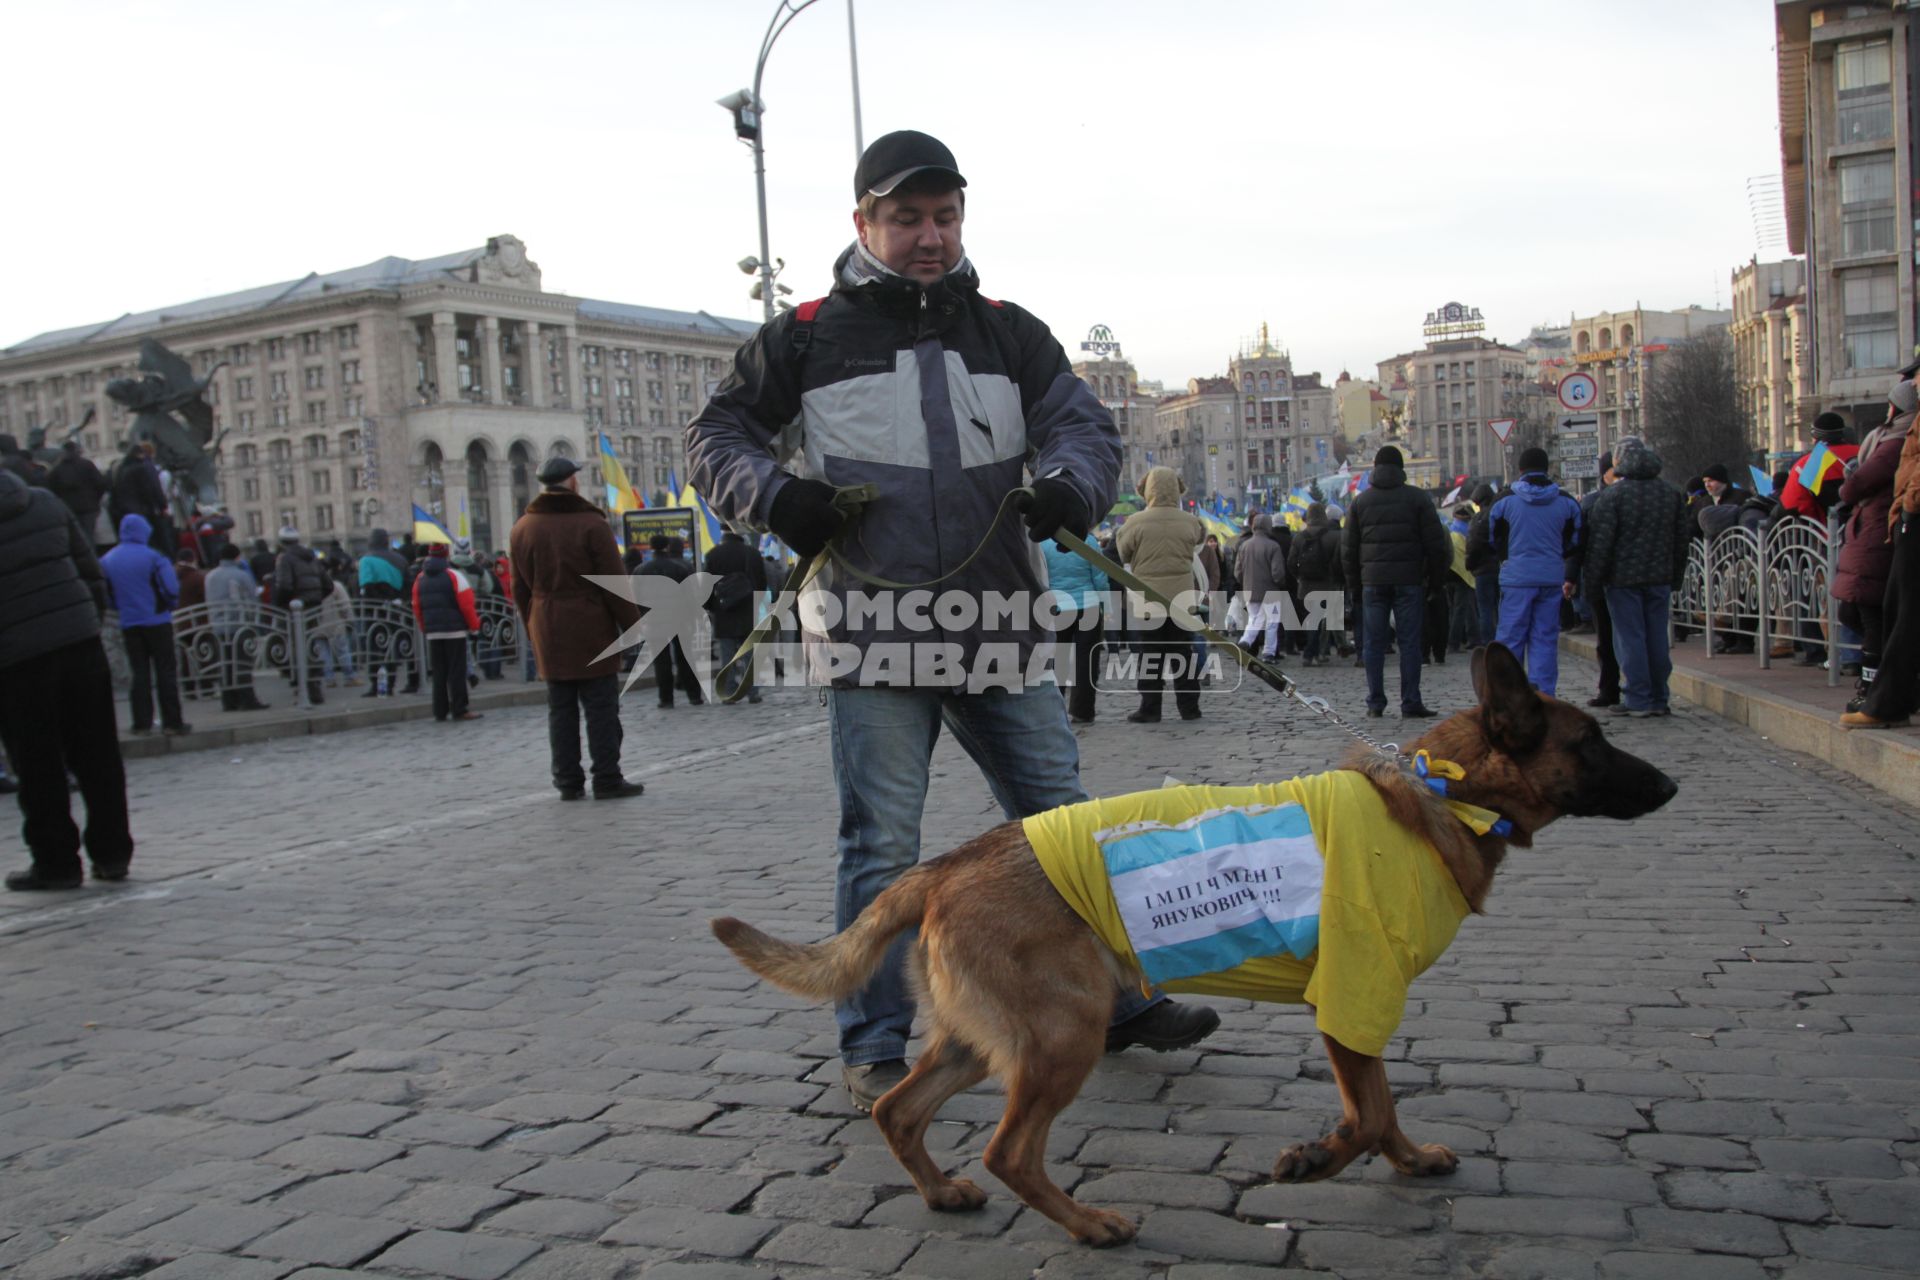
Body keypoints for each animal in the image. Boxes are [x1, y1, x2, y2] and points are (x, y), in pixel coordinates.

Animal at [714, 644, 1674, 1243]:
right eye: (1592, 743)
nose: (1670, 785)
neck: (1448, 793)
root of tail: (945, 866)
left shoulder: (1361, 1009)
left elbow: (1388, 1109)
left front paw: (1406, 1161)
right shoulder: (1353, 999)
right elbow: (1367, 1112)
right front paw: (1318, 1159)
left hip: (979, 1042)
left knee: (900, 1111)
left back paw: (944, 1192)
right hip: (1063, 1036)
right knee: (1008, 1149)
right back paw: (1088, 1225)